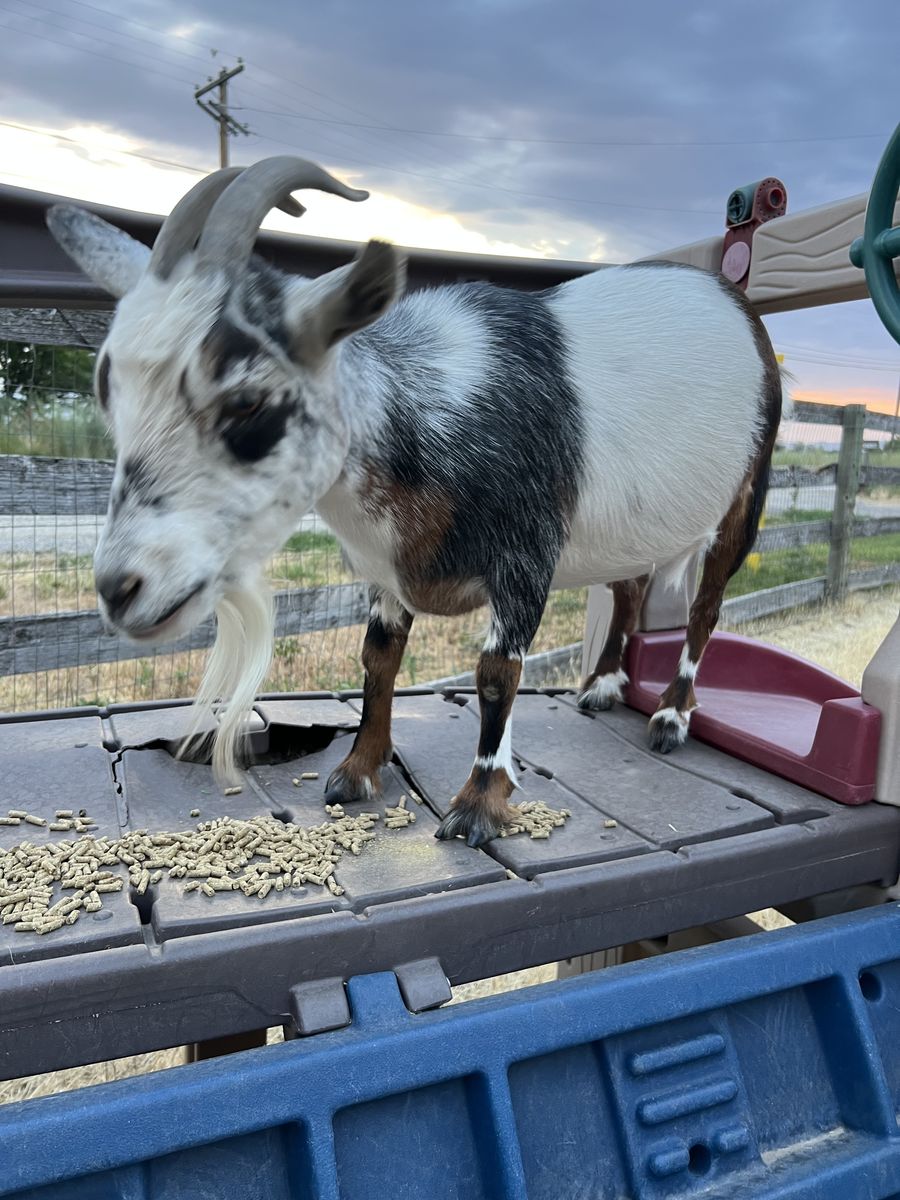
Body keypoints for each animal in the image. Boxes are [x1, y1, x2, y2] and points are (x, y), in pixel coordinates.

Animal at [47, 157, 782, 846]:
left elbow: (496, 673)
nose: (120, 589)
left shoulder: (527, 554)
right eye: (109, 393)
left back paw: (670, 717)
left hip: (745, 492)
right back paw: (602, 686)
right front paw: (357, 770)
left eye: (247, 401)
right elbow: (378, 659)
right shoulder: (384, 566)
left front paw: (478, 805)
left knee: (706, 608)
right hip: (628, 524)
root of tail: (734, 299)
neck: (427, 416)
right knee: (630, 585)